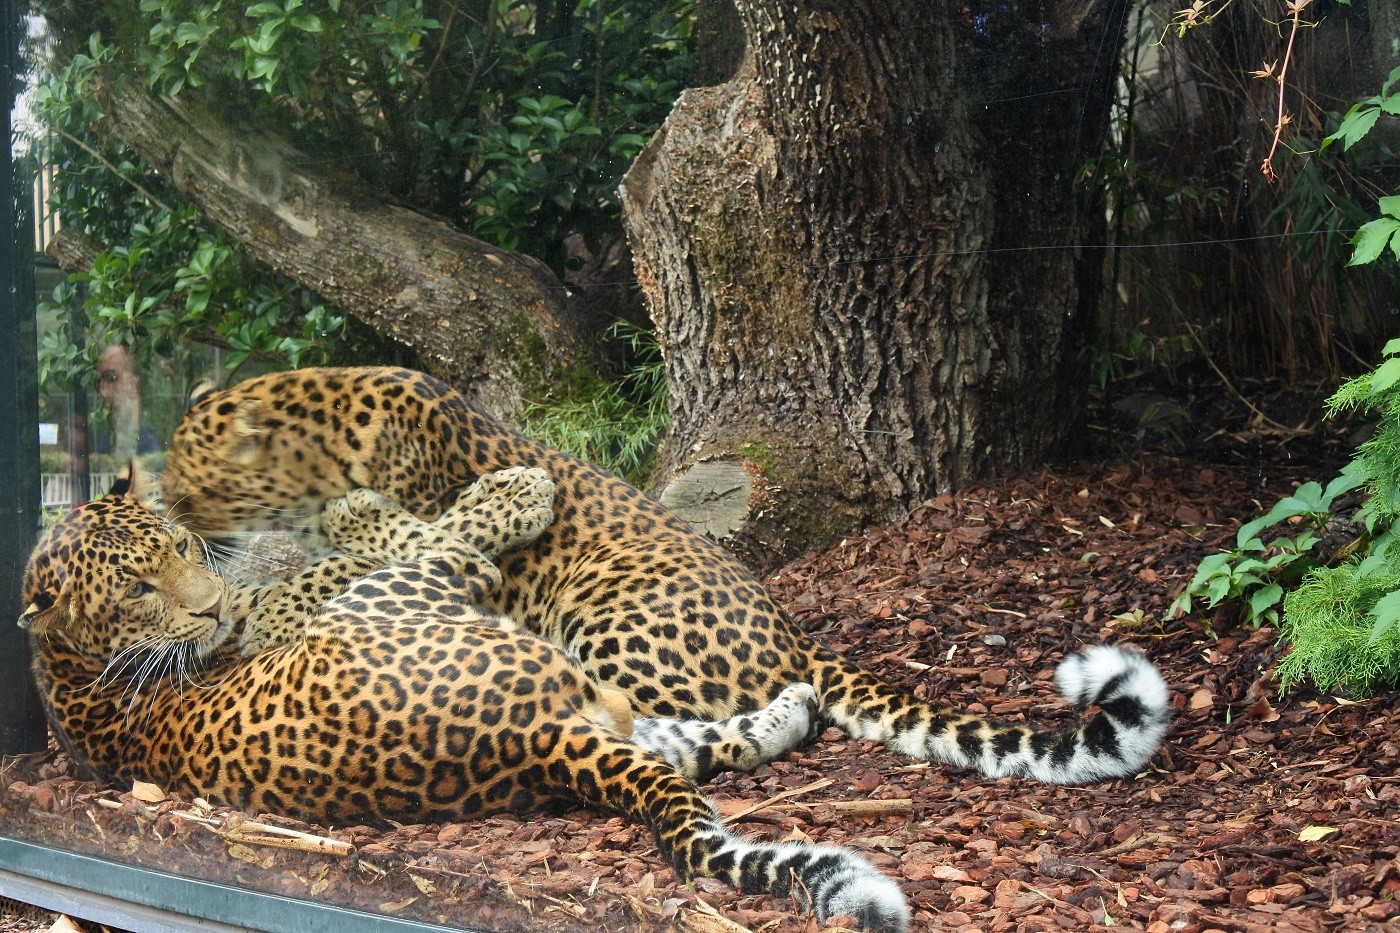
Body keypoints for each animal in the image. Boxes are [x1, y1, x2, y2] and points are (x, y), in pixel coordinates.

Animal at [24, 473, 918, 930]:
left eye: (177, 543)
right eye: (136, 588)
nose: (212, 608)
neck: (70, 668)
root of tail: (542, 739)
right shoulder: (303, 604)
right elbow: (319, 573)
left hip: (614, 718)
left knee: (707, 743)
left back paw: (794, 705)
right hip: (408, 592)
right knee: (444, 541)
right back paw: (500, 491)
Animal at [161, 364, 1170, 784]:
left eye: (186, 476)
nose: (168, 507)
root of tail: (796, 630)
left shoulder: (441, 522)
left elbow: (389, 542)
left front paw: (285, 586)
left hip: (603, 604)